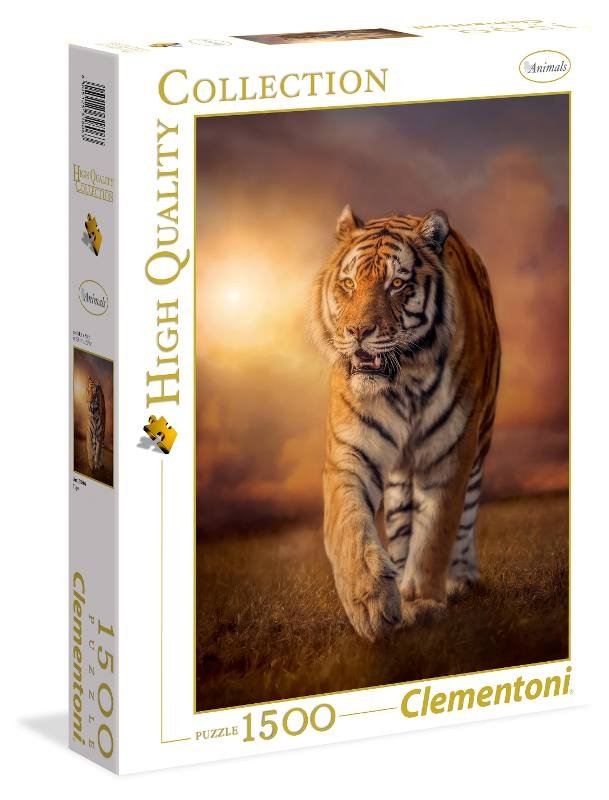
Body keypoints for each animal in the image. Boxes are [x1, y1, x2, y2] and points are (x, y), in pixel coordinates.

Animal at [311, 205, 500, 641]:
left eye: (396, 283)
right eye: (348, 284)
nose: (358, 332)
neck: (404, 382)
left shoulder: (451, 453)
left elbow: (436, 533)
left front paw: (423, 601)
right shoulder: (349, 452)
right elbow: (348, 525)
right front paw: (371, 602)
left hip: (481, 440)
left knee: (466, 514)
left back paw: (460, 577)